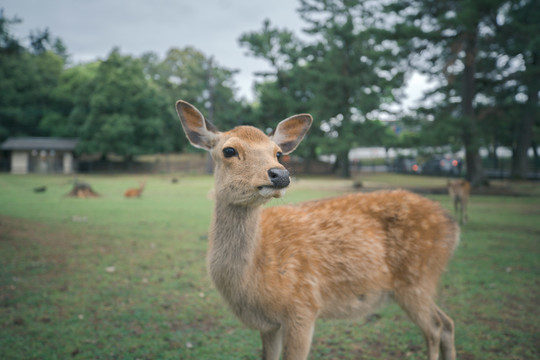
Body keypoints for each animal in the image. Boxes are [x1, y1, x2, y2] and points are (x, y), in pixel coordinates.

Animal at [175, 99, 458, 360]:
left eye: (278, 153)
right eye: (229, 150)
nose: (280, 174)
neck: (253, 279)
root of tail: (452, 226)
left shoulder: (304, 306)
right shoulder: (268, 325)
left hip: (416, 278)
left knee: (434, 328)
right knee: (447, 323)